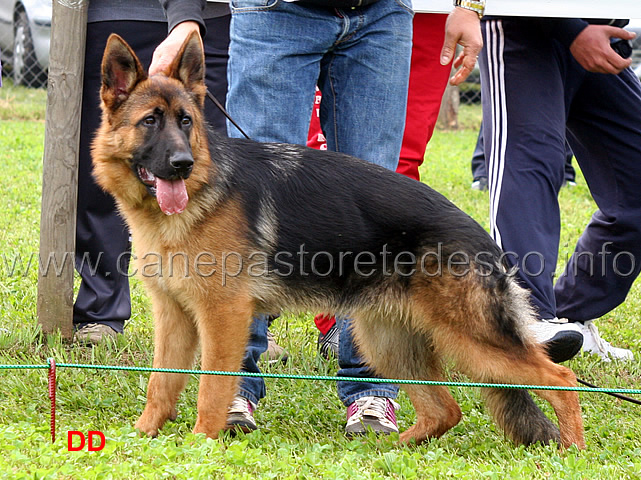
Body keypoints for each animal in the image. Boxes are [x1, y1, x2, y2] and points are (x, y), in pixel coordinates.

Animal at [91, 33, 584, 450]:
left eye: (186, 121)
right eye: (150, 121)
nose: (182, 163)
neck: (198, 196)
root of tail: (484, 239)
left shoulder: (222, 317)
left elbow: (211, 387)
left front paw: (201, 444)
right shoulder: (173, 316)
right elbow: (161, 383)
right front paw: (142, 437)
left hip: (470, 340)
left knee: (561, 380)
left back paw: (572, 451)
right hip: (385, 342)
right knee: (446, 409)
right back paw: (394, 450)